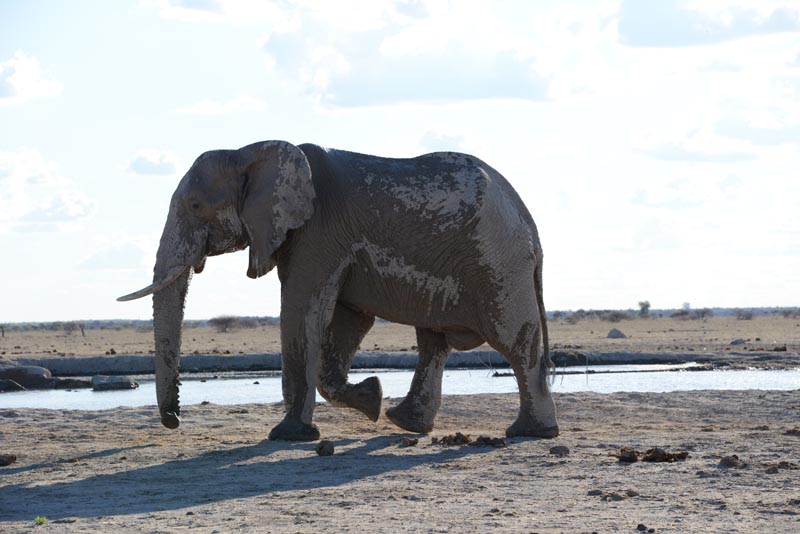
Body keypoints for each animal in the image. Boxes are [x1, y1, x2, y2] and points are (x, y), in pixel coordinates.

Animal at [118, 140, 558, 441]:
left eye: (194, 206)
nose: (174, 420)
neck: (248, 151)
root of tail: (532, 227)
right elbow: (347, 319)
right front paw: (372, 398)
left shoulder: (318, 232)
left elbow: (301, 312)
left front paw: (288, 437)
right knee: (433, 342)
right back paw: (404, 423)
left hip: (498, 264)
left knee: (515, 342)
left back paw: (529, 433)